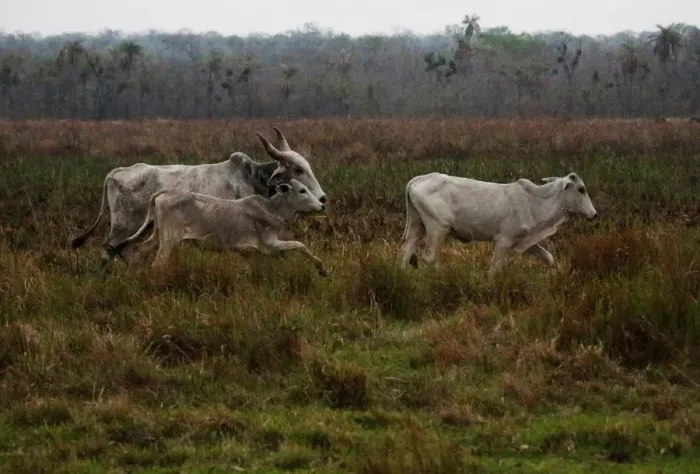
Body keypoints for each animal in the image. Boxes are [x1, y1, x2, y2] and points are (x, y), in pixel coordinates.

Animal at [124, 179, 328, 275]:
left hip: (158, 235)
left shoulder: (248, 252)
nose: (322, 205)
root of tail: (164, 192)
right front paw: (321, 269)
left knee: (138, 251)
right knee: (157, 264)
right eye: (302, 190)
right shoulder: (269, 245)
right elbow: (300, 245)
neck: (271, 209)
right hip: (169, 239)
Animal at [400, 172, 597, 273]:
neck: (535, 201)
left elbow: (548, 257)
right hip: (438, 228)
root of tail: (417, 179)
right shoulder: (503, 240)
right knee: (430, 258)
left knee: (405, 252)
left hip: (418, 226)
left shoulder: (524, 240)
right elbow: (495, 269)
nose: (594, 215)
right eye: (581, 189)